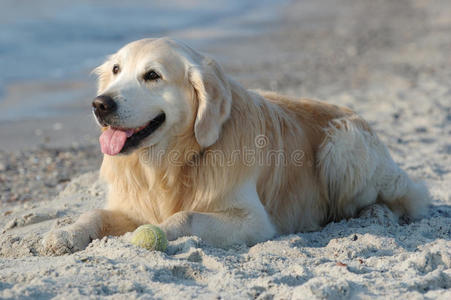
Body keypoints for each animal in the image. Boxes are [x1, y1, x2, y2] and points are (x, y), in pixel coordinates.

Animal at [43, 36, 430, 254]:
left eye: (152, 76)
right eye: (116, 70)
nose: (99, 104)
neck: (170, 164)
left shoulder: (254, 221)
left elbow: (184, 216)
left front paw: (158, 231)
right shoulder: (132, 204)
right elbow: (94, 214)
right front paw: (64, 234)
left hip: (342, 144)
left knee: (405, 199)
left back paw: (377, 214)